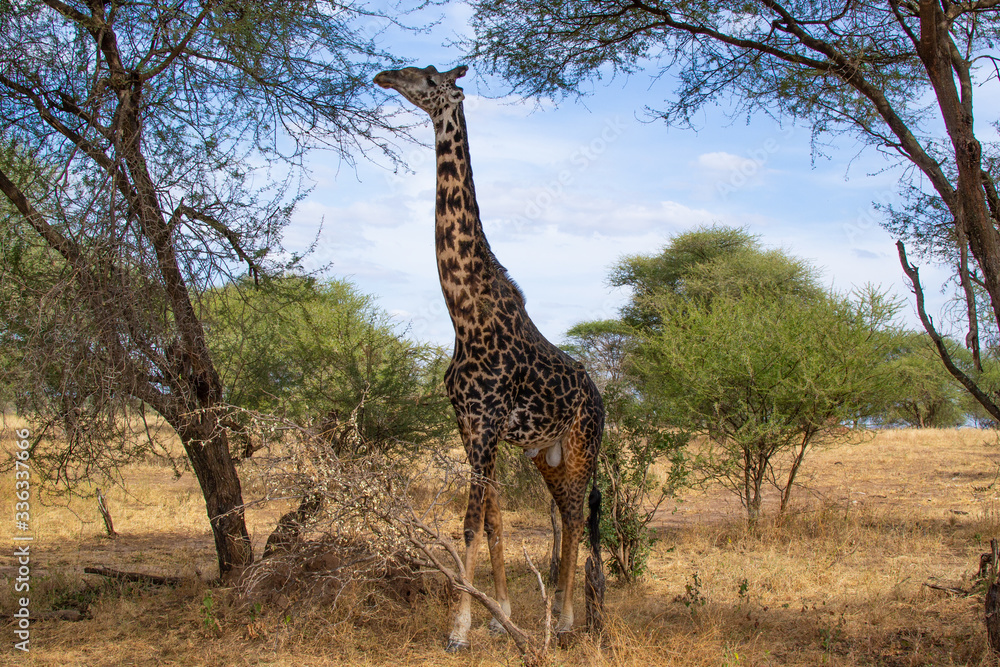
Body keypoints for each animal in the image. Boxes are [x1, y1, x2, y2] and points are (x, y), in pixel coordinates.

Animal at [374, 64, 604, 651]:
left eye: (429, 77)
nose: (386, 74)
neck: (463, 312)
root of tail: (603, 398)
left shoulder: (484, 424)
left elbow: (470, 523)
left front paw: (459, 629)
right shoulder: (470, 424)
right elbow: (496, 520)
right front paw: (500, 614)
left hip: (582, 446)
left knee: (576, 516)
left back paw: (565, 622)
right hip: (545, 455)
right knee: (568, 517)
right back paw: (562, 616)